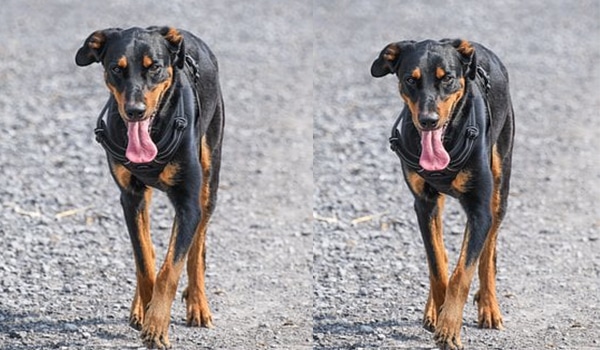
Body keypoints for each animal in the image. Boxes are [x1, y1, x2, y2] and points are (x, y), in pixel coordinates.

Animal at [75, 26, 225, 348]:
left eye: (154, 66)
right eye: (115, 69)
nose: (135, 111)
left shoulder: (188, 202)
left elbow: (171, 268)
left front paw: (156, 327)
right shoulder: (131, 197)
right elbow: (144, 260)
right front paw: (145, 311)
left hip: (210, 181)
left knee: (197, 248)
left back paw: (198, 304)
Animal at [370, 39, 516, 350]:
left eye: (447, 78)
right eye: (410, 79)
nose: (428, 120)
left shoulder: (480, 208)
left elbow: (464, 272)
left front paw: (449, 329)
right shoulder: (424, 204)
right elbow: (437, 264)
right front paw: (439, 313)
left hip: (500, 188)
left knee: (488, 252)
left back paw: (489, 306)